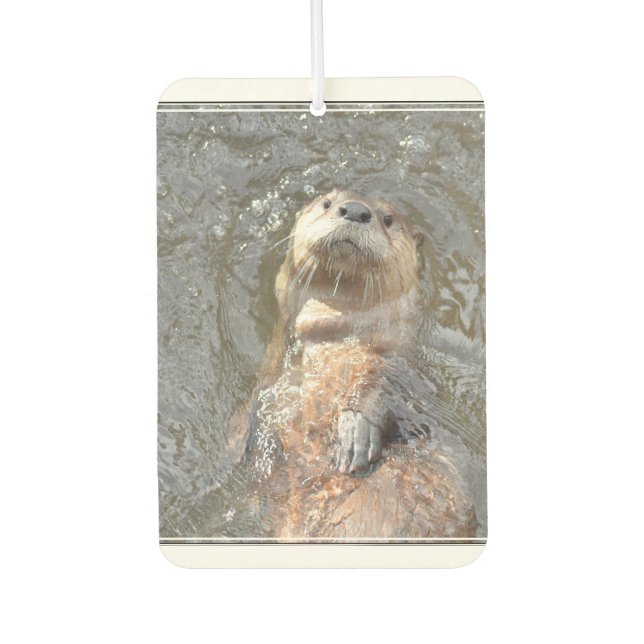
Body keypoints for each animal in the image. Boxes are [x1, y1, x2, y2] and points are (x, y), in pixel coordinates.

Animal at [243, 189, 478, 539]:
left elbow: (379, 383)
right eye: (327, 203)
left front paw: (355, 431)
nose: (355, 210)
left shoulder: (400, 364)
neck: (334, 336)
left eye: (388, 218)